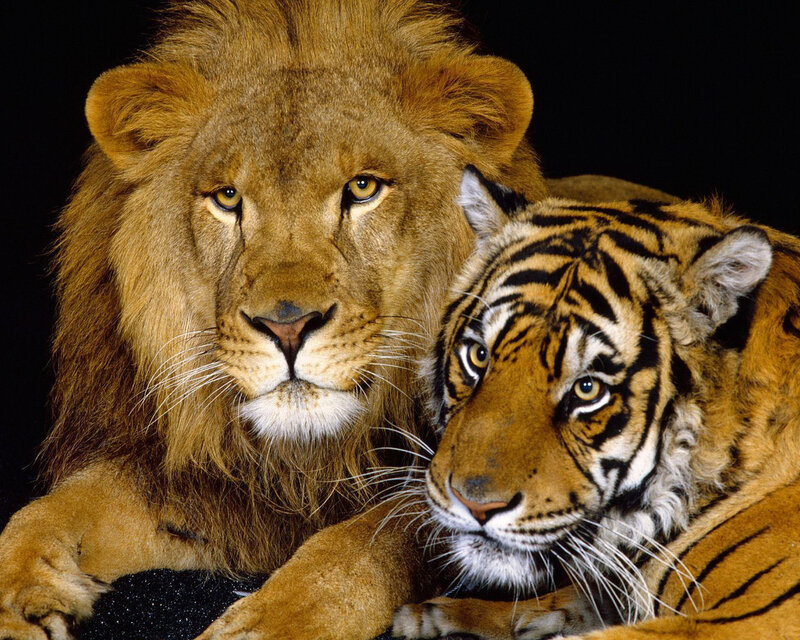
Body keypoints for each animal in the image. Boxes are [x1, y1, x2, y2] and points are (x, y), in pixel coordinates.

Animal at [0, 2, 673, 639]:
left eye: (363, 188)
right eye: (227, 197)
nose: (288, 327)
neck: (310, 456)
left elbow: (363, 544)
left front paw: (269, 622)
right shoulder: (207, 488)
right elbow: (47, 513)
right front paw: (19, 604)